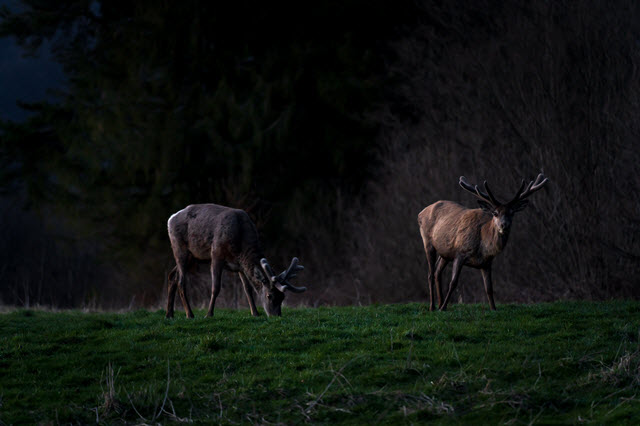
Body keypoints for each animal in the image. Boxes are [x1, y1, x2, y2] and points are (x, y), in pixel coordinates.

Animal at [165, 205, 304, 318]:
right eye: (269, 295)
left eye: (282, 297)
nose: (276, 315)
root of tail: (170, 219)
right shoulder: (216, 254)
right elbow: (216, 287)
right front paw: (209, 314)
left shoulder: (239, 266)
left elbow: (247, 289)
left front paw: (255, 313)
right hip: (179, 248)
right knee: (181, 281)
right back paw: (189, 314)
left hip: (193, 257)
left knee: (172, 276)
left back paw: (169, 314)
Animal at [418, 172, 548, 310]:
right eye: (495, 213)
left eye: (512, 213)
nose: (504, 225)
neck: (482, 247)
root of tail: (421, 212)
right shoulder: (460, 252)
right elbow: (453, 282)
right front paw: (443, 308)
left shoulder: (486, 263)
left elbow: (489, 288)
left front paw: (494, 309)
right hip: (428, 242)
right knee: (430, 274)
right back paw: (433, 307)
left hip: (445, 253)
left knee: (437, 272)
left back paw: (440, 303)